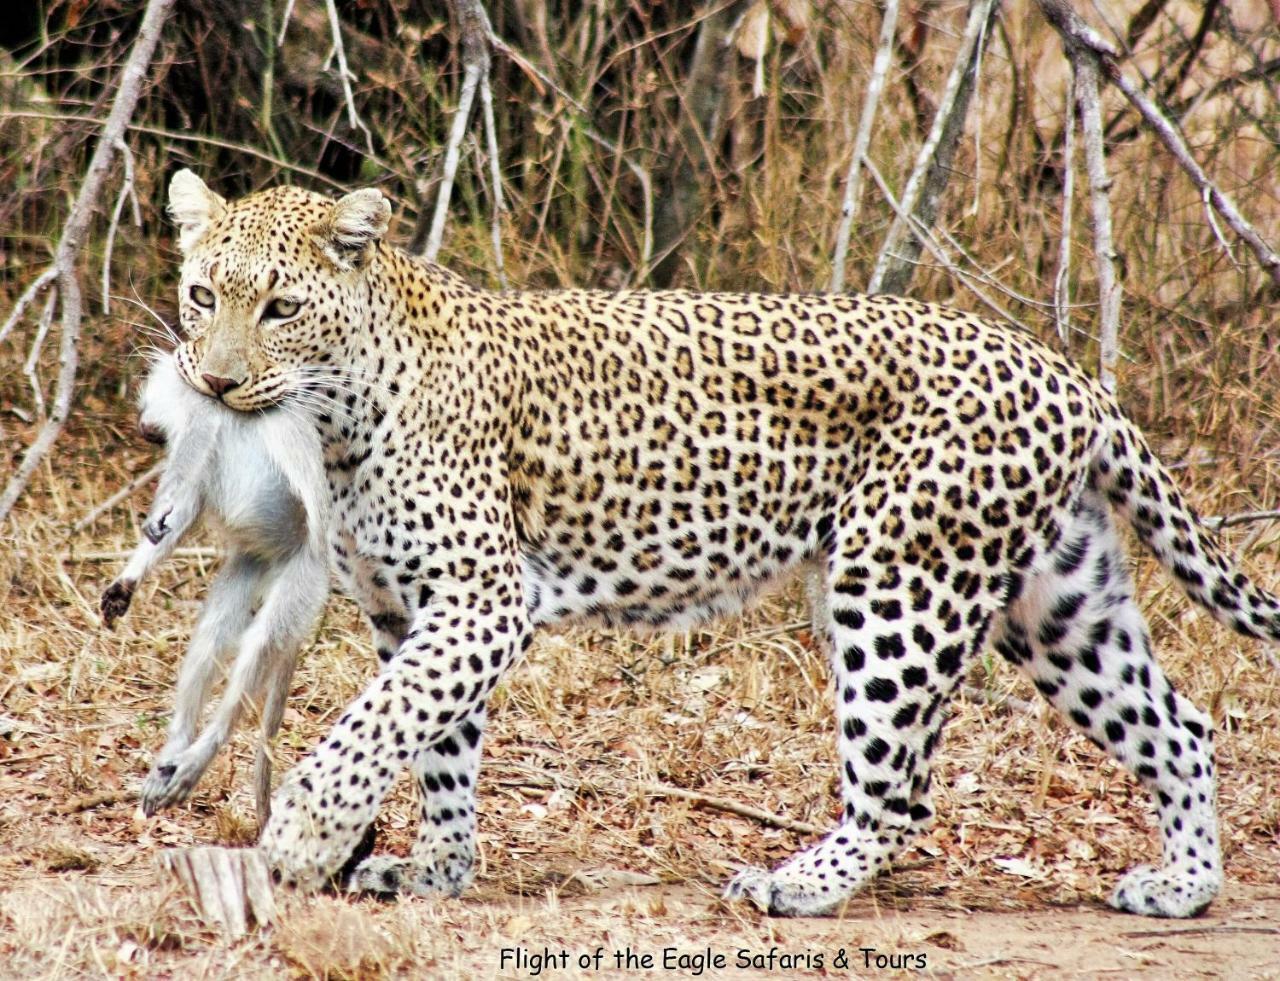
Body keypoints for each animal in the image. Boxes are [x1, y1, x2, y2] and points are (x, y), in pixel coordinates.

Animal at [162, 171, 1280, 922]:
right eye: (202, 296)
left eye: (280, 306)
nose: (213, 381)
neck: (337, 417)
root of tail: (1067, 370)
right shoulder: (411, 609)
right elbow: (435, 743)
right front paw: (436, 868)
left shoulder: (482, 598)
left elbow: (373, 727)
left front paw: (300, 836)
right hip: (1055, 603)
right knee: (1179, 727)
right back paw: (1183, 883)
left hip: (896, 587)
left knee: (900, 793)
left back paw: (795, 884)